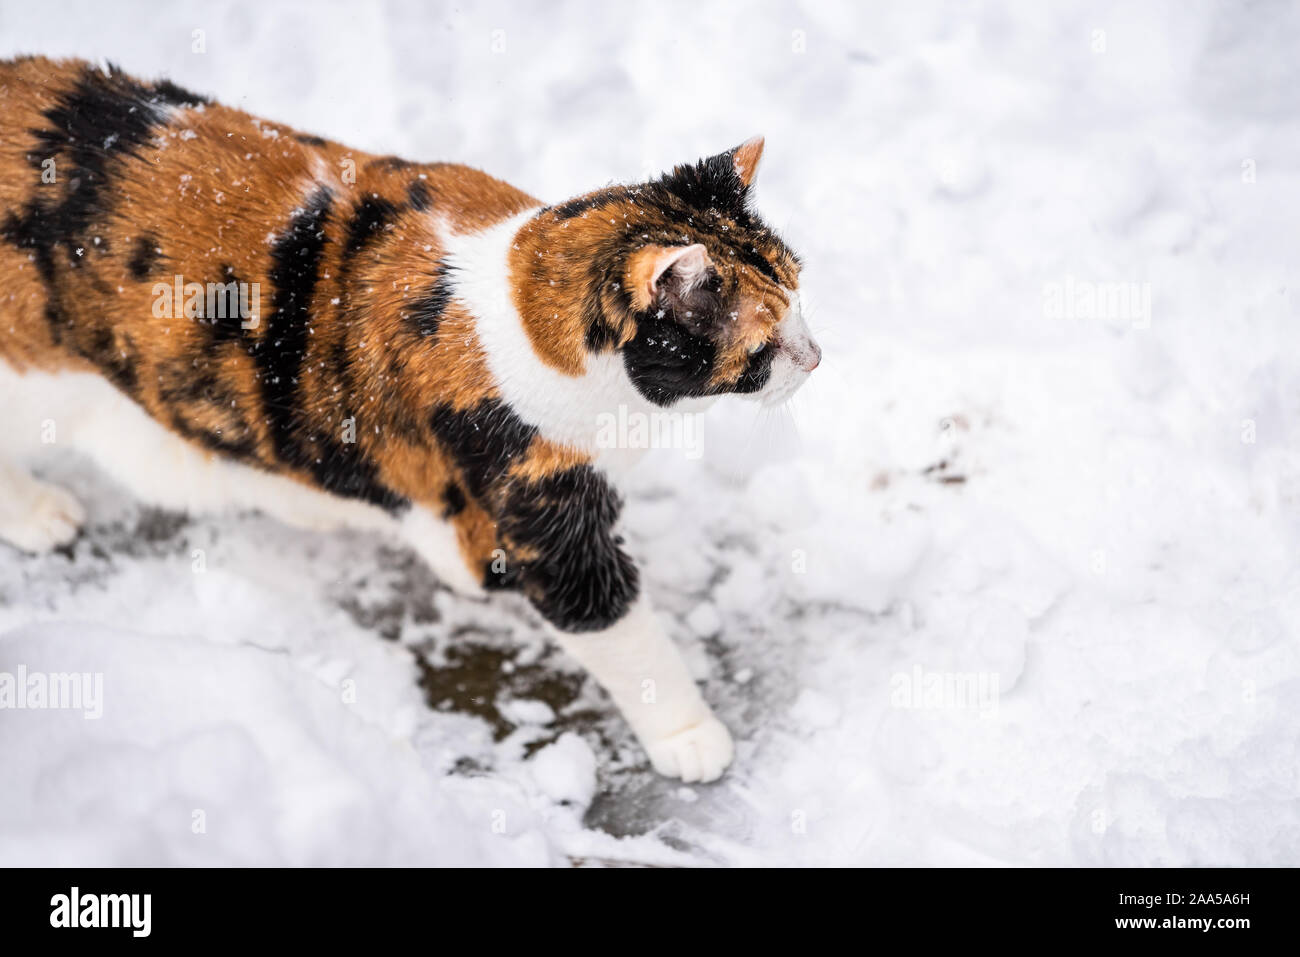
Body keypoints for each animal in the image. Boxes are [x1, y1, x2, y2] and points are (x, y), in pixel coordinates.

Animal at [0, 59, 816, 780]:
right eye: (760, 345)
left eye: (801, 293)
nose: (815, 355)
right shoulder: (535, 512)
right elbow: (621, 630)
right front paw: (691, 736)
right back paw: (41, 513)